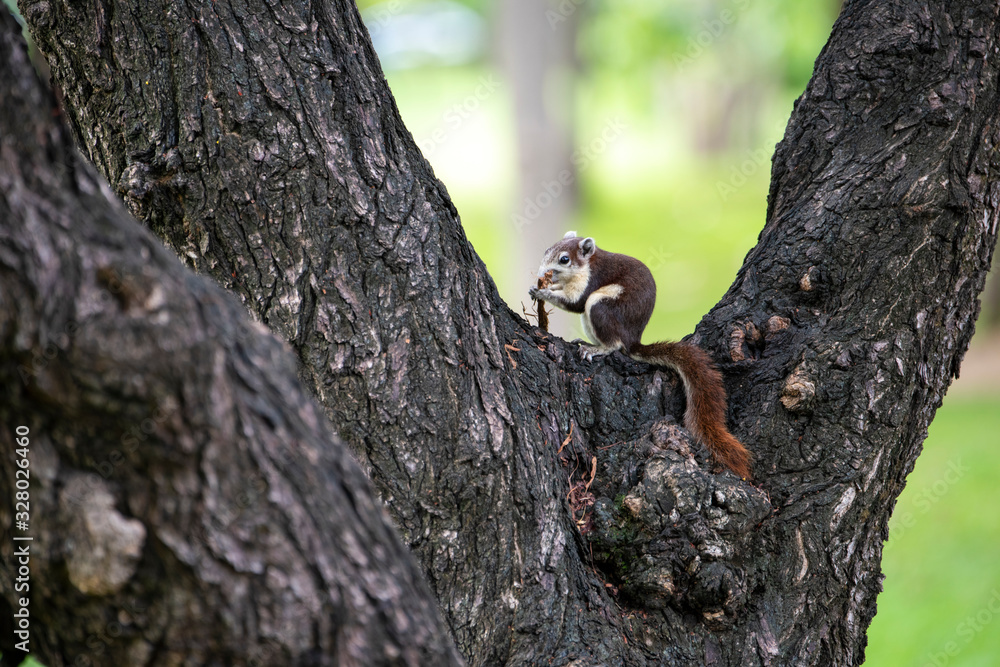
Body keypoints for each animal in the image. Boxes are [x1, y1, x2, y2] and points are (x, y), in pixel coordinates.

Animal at [528, 231, 752, 479]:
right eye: (547, 250)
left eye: (565, 259)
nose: (541, 274)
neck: (587, 264)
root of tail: (633, 340)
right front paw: (542, 286)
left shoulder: (590, 280)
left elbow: (575, 302)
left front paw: (544, 291)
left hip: (601, 306)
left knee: (614, 344)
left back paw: (595, 349)